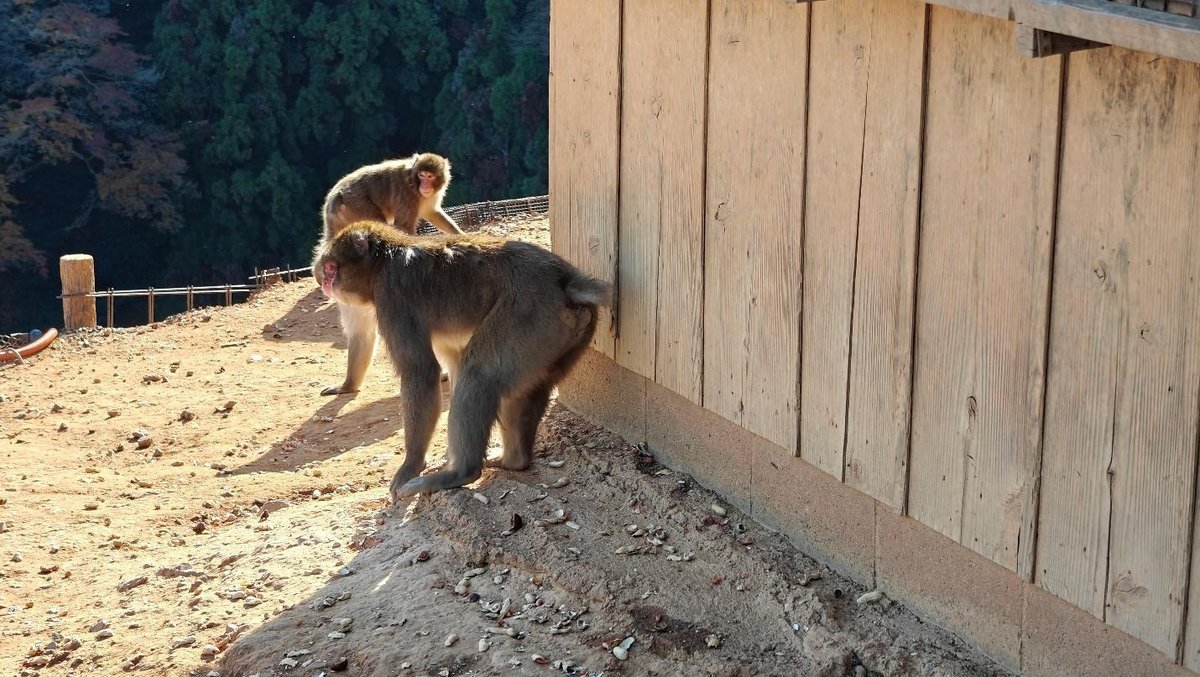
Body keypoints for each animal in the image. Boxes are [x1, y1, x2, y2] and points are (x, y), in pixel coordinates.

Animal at [312, 220, 612, 501]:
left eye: (331, 267)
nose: (324, 283)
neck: (384, 261)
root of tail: (566, 278)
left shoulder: (393, 296)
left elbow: (421, 372)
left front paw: (411, 465)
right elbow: (452, 363)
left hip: (530, 311)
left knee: (479, 373)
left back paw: (461, 472)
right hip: (567, 333)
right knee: (526, 386)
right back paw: (514, 460)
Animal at [315, 152, 462, 396]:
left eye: (430, 176)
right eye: (422, 176)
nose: (425, 185)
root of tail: (335, 198)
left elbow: (433, 212)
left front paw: (459, 233)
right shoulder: (408, 196)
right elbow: (403, 226)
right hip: (357, 206)